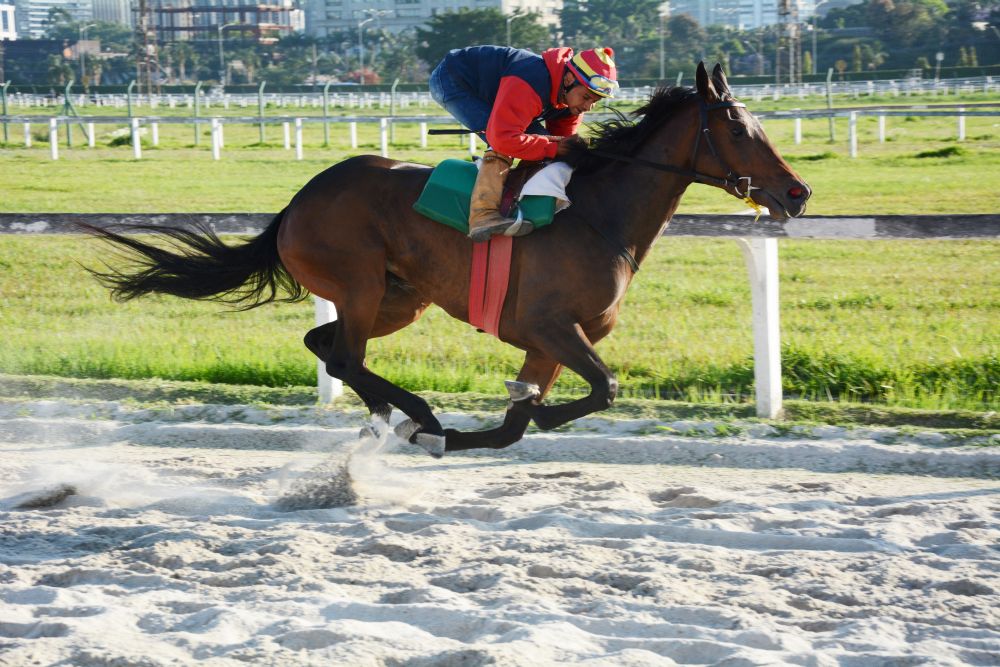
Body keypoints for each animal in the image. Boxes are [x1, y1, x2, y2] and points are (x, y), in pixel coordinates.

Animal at [82, 63, 811, 457]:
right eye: (739, 128)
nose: (797, 192)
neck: (598, 216)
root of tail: (296, 201)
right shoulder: (550, 326)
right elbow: (601, 388)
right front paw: (493, 422)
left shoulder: (551, 341)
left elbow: (516, 424)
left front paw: (489, 426)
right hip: (360, 282)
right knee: (344, 356)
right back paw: (417, 414)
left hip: (399, 297)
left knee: (326, 344)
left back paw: (393, 417)